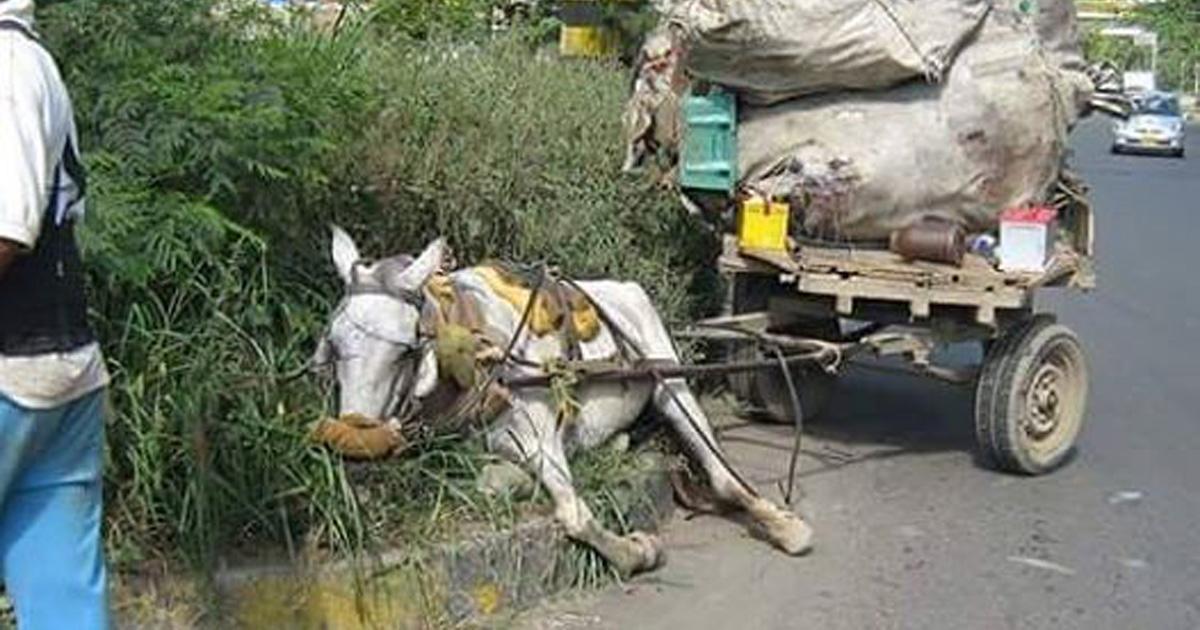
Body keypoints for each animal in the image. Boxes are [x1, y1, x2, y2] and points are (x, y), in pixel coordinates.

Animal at [314, 226, 811, 573]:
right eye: (333, 345)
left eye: (406, 349)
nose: (350, 442)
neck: (476, 351)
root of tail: (627, 287)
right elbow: (490, 483)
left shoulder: (540, 436)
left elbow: (574, 514)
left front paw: (636, 550)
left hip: (672, 382)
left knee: (722, 471)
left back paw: (785, 526)